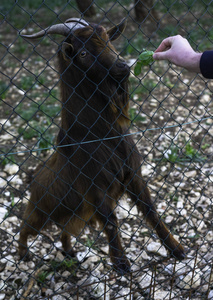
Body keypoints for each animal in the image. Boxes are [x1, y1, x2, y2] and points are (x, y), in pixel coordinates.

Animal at [18, 17, 185, 274]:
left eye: (108, 40)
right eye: (84, 53)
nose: (123, 66)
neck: (101, 135)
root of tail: (33, 177)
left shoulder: (133, 175)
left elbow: (151, 211)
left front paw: (176, 248)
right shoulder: (97, 187)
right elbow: (111, 223)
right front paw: (122, 264)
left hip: (78, 213)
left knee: (65, 230)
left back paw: (69, 251)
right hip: (42, 209)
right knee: (26, 226)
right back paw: (23, 253)